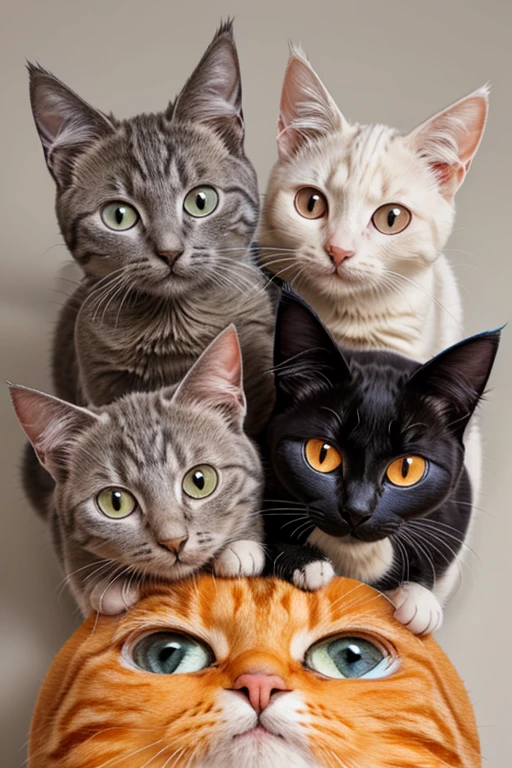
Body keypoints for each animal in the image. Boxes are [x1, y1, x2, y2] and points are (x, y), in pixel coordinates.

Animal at [10, 328, 266, 616]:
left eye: (200, 481)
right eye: (115, 502)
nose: (174, 541)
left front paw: (241, 546)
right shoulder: (58, 522)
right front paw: (106, 583)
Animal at [264, 290, 500, 636]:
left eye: (406, 468)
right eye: (322, 454)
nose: (356, 511)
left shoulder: (455, 512)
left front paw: (418, 599)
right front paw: (305, 563)